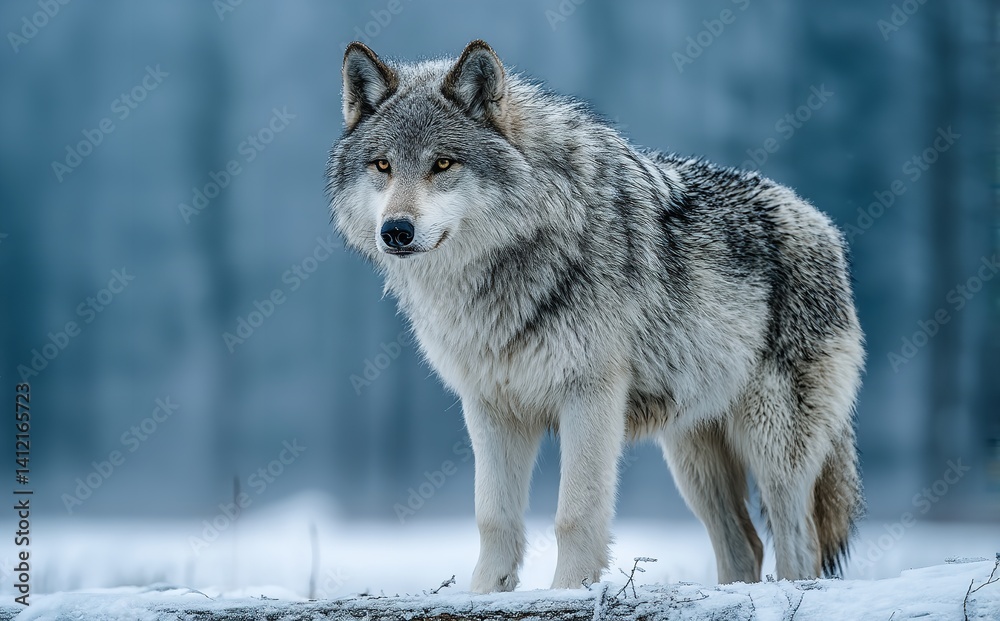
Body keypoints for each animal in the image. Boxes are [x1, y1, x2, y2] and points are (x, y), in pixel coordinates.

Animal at [326, 40, 865, 592]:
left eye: (443, 163)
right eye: (383, 166)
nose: (396, 230)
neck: (512, 260)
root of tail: (824, 224)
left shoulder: (590, 396)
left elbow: (575, 516)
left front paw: (568, 592)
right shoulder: (490, 408)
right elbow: (493, 518)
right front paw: (484, 596)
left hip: (772, 446)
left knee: (799, 544)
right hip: (692, 457)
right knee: (747, 544)